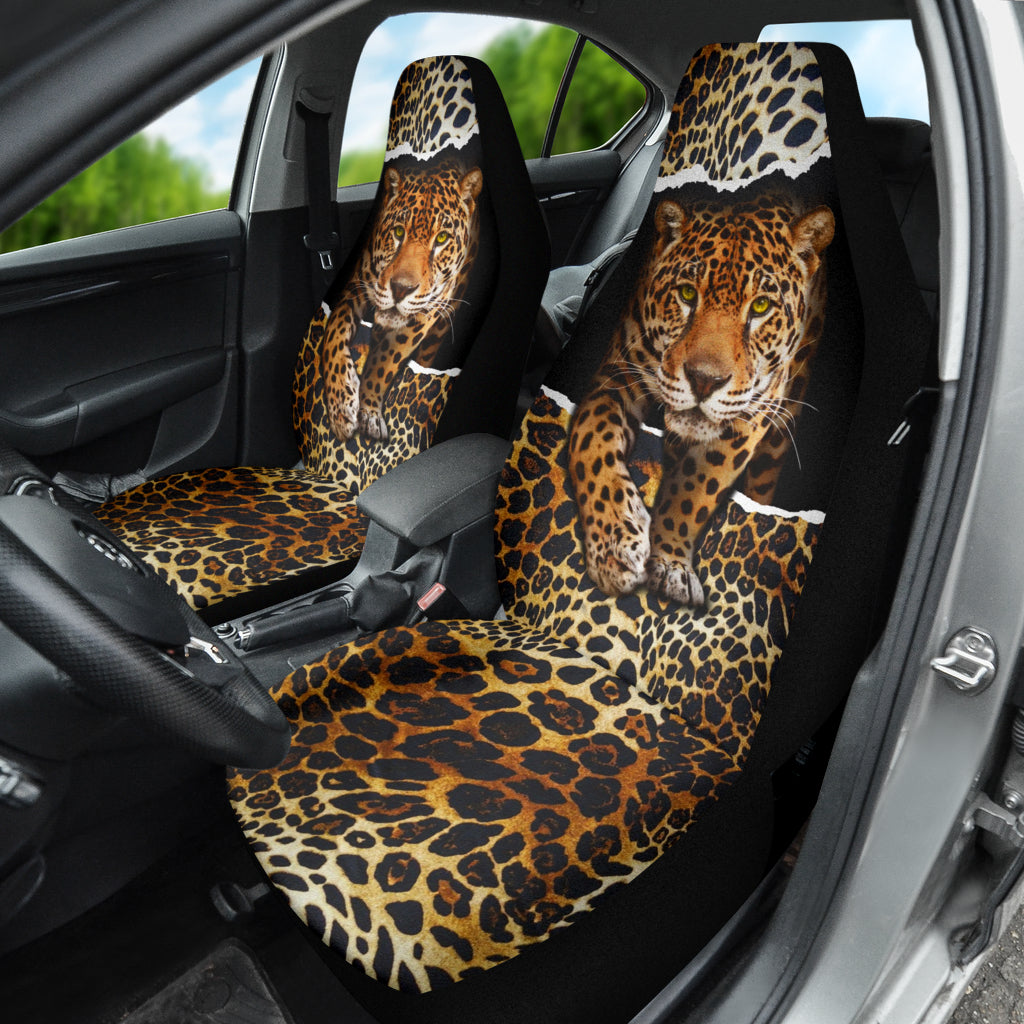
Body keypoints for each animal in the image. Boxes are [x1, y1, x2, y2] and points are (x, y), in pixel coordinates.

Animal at [322, 157, 482, 444]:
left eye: (442, 238)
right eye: (398, 232)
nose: (400, 289)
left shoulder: (423, 316)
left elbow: (385, 359)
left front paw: (369, 413)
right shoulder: (355, 287)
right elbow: (334, 332)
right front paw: (341, 406)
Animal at [568, 187, 834, 607]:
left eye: (761, 306)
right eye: (687, 293)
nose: (705, 381)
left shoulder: (747, 417)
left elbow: (696, 488)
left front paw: (669, 564)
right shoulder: (618, 375)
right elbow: (592, 439)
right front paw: (615, 546)